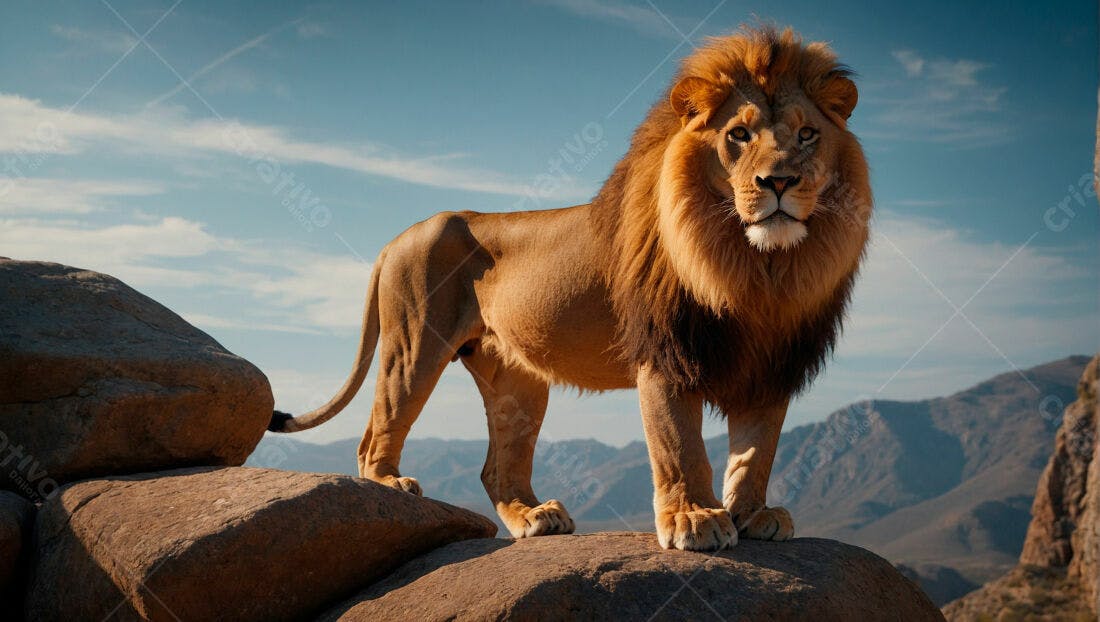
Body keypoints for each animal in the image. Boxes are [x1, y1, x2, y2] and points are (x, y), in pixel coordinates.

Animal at [268, 26, 872, 551]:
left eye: (807, 135)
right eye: (738, 136)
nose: (779, 182)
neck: (757, 268)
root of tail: (399, 236)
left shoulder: (772, 362)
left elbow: (756, 451)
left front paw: (751, 514)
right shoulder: (666, 354)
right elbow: (679, 444)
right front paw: (694, 518)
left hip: (516, 377)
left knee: (496, 469)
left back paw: (535, 516)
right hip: (414, 344)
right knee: (375, 434)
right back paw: (391, 485)